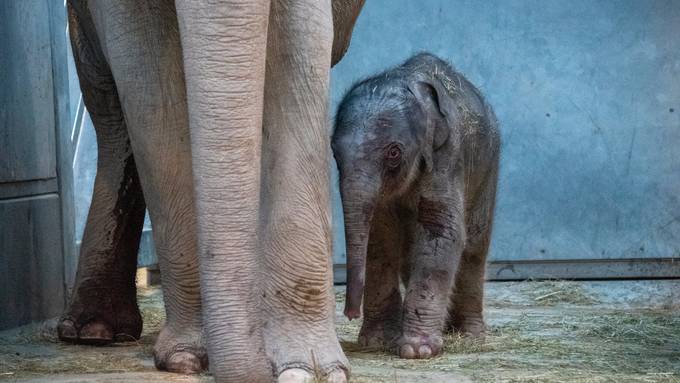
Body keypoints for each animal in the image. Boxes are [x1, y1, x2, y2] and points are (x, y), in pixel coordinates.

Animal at [334, 53, 500, 360]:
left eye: (394, 152)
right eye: (334, 153)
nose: (350, 314)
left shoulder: (447, 156)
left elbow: (441, 231)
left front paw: (418, 350)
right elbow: (380, 237)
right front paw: (377, 342)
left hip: (488, 167)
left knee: (474, 248)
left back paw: (470, 336)